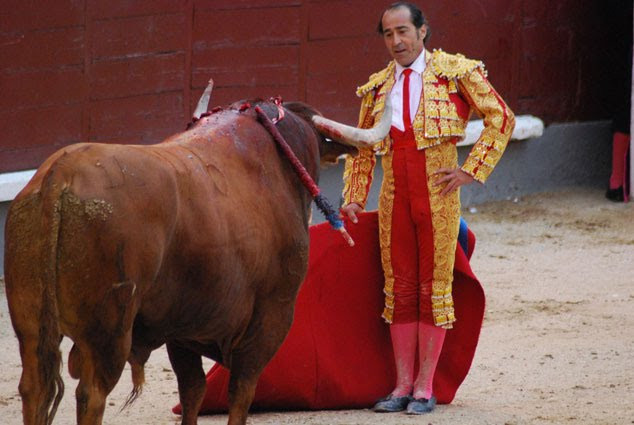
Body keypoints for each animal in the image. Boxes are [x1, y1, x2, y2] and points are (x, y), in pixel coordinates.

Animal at [3, 84, 390, 422]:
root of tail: (59, 176)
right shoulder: (270, 318)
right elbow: (241, 393)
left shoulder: (182, 331)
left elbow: (192, 391)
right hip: (109, 330)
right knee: (91, 393)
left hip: (30, 323)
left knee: (34, 389)